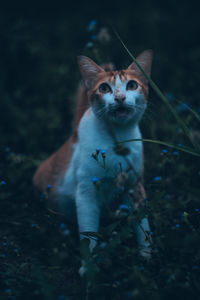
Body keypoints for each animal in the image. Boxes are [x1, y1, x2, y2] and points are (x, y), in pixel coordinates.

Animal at [33, 51, 153, 272]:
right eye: (104, 88)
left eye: (132, 85)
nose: (120, 97)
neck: (118, 140)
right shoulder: (86, 192)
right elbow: (88, 233)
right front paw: (89, 268)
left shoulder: (135, 184)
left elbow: (143, 224)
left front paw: (146, 254)